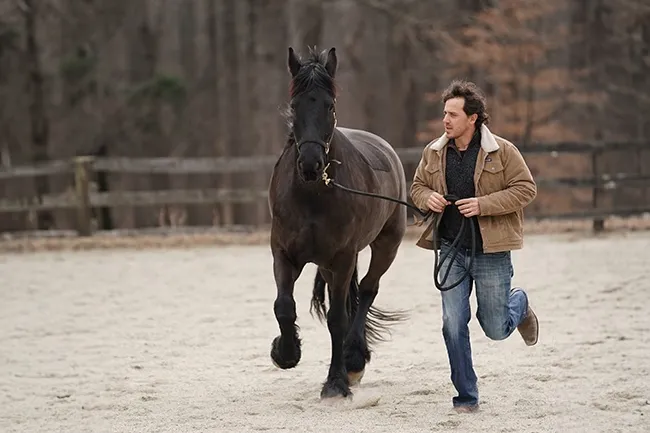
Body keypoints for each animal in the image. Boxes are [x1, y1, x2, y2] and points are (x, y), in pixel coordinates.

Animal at [267, 46, 409, 399]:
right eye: (295, 106)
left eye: (329, 106)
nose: (310, 164)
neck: (312, 195)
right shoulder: (283, 254)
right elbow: (284, 306)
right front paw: (285, 353)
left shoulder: (343, 257)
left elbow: (338, 319)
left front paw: (336, 382)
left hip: (386, 244)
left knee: (368, 290)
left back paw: (354, 358)